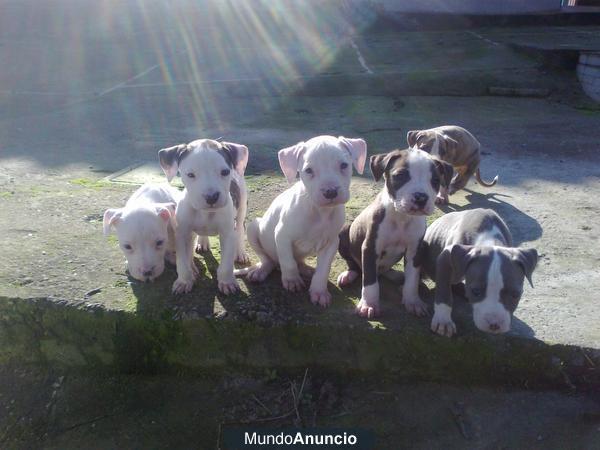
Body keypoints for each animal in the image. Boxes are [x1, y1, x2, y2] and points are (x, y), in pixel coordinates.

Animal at [158, 139, 250, 298]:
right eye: (190, 174)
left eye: (225, 172)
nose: (211, 197)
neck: (206, 213)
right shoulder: (182, 234)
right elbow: (182, 262)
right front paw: (184, 281)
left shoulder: (227, 233)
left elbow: (226, 264)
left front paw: (227, 282)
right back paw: (202, 242)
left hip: (241, 207)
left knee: (239, 230)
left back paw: (240, 253)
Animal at [237, 135, 368, 308]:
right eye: (309, 171)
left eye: (344, 165)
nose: (330, 192)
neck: (320, 212)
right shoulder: (282, 236)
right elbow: (288, 262)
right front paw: (292, 281)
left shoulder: (331, 243)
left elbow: (323, 270)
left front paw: (319, 292)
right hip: (253, 229)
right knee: (269, 259)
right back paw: (261, 271)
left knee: (297, 261)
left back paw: (306, 269)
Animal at [336, 147, 452, 316]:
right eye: (400, 176)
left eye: (436, 181)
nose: (420, 197)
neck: (401, 217)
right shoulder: (370, 247)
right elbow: (370, 280)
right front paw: (369, 304)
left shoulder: (415, 250)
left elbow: (412, 279)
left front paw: (413, 301)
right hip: (345, 231)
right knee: (355, 265)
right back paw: (349, 275)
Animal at [418, 210, 540, 338]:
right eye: (475, 291)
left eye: (516, 294)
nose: (494, 325)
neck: (489, 238)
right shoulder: (445, 257)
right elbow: (444, 291)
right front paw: (443, 320)